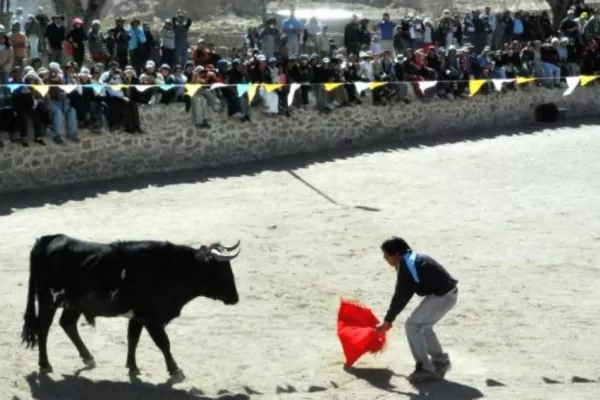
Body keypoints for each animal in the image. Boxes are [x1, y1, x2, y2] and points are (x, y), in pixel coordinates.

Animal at [21, 234, 241, 382]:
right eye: (222, 270)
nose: (235, 298)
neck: (170, 268)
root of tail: (47, 240)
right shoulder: (151, 318)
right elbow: (163, 342)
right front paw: (175, 371)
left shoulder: (137, 317)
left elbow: (133, 339)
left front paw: (133, 367)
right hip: (48, 300)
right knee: (43, 329)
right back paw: (45, 364)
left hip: (73, 304)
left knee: (67, 324)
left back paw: (88, 358)